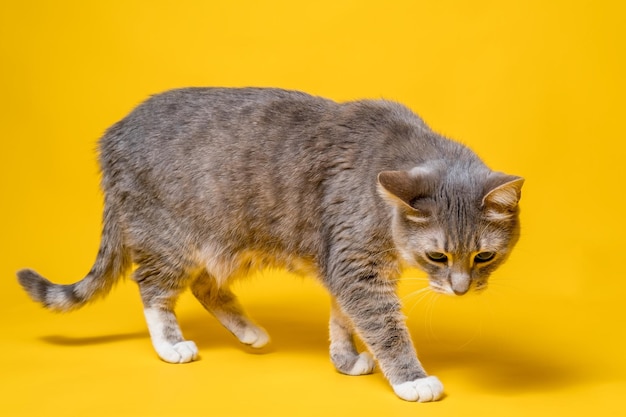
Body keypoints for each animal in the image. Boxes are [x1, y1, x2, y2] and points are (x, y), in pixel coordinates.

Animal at [17, 86, 520, 402]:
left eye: (484, 256)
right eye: (437, 255)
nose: (460, 289)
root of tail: (112, 137)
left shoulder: (343, 264)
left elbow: (342, 317)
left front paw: (344, 359)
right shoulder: (356, 265)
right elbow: (383, 325)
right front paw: (411, 380)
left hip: (222, 243)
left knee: (204, 286)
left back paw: (249, 332)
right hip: (170, 236)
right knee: (153, 288)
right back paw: (171, 344)